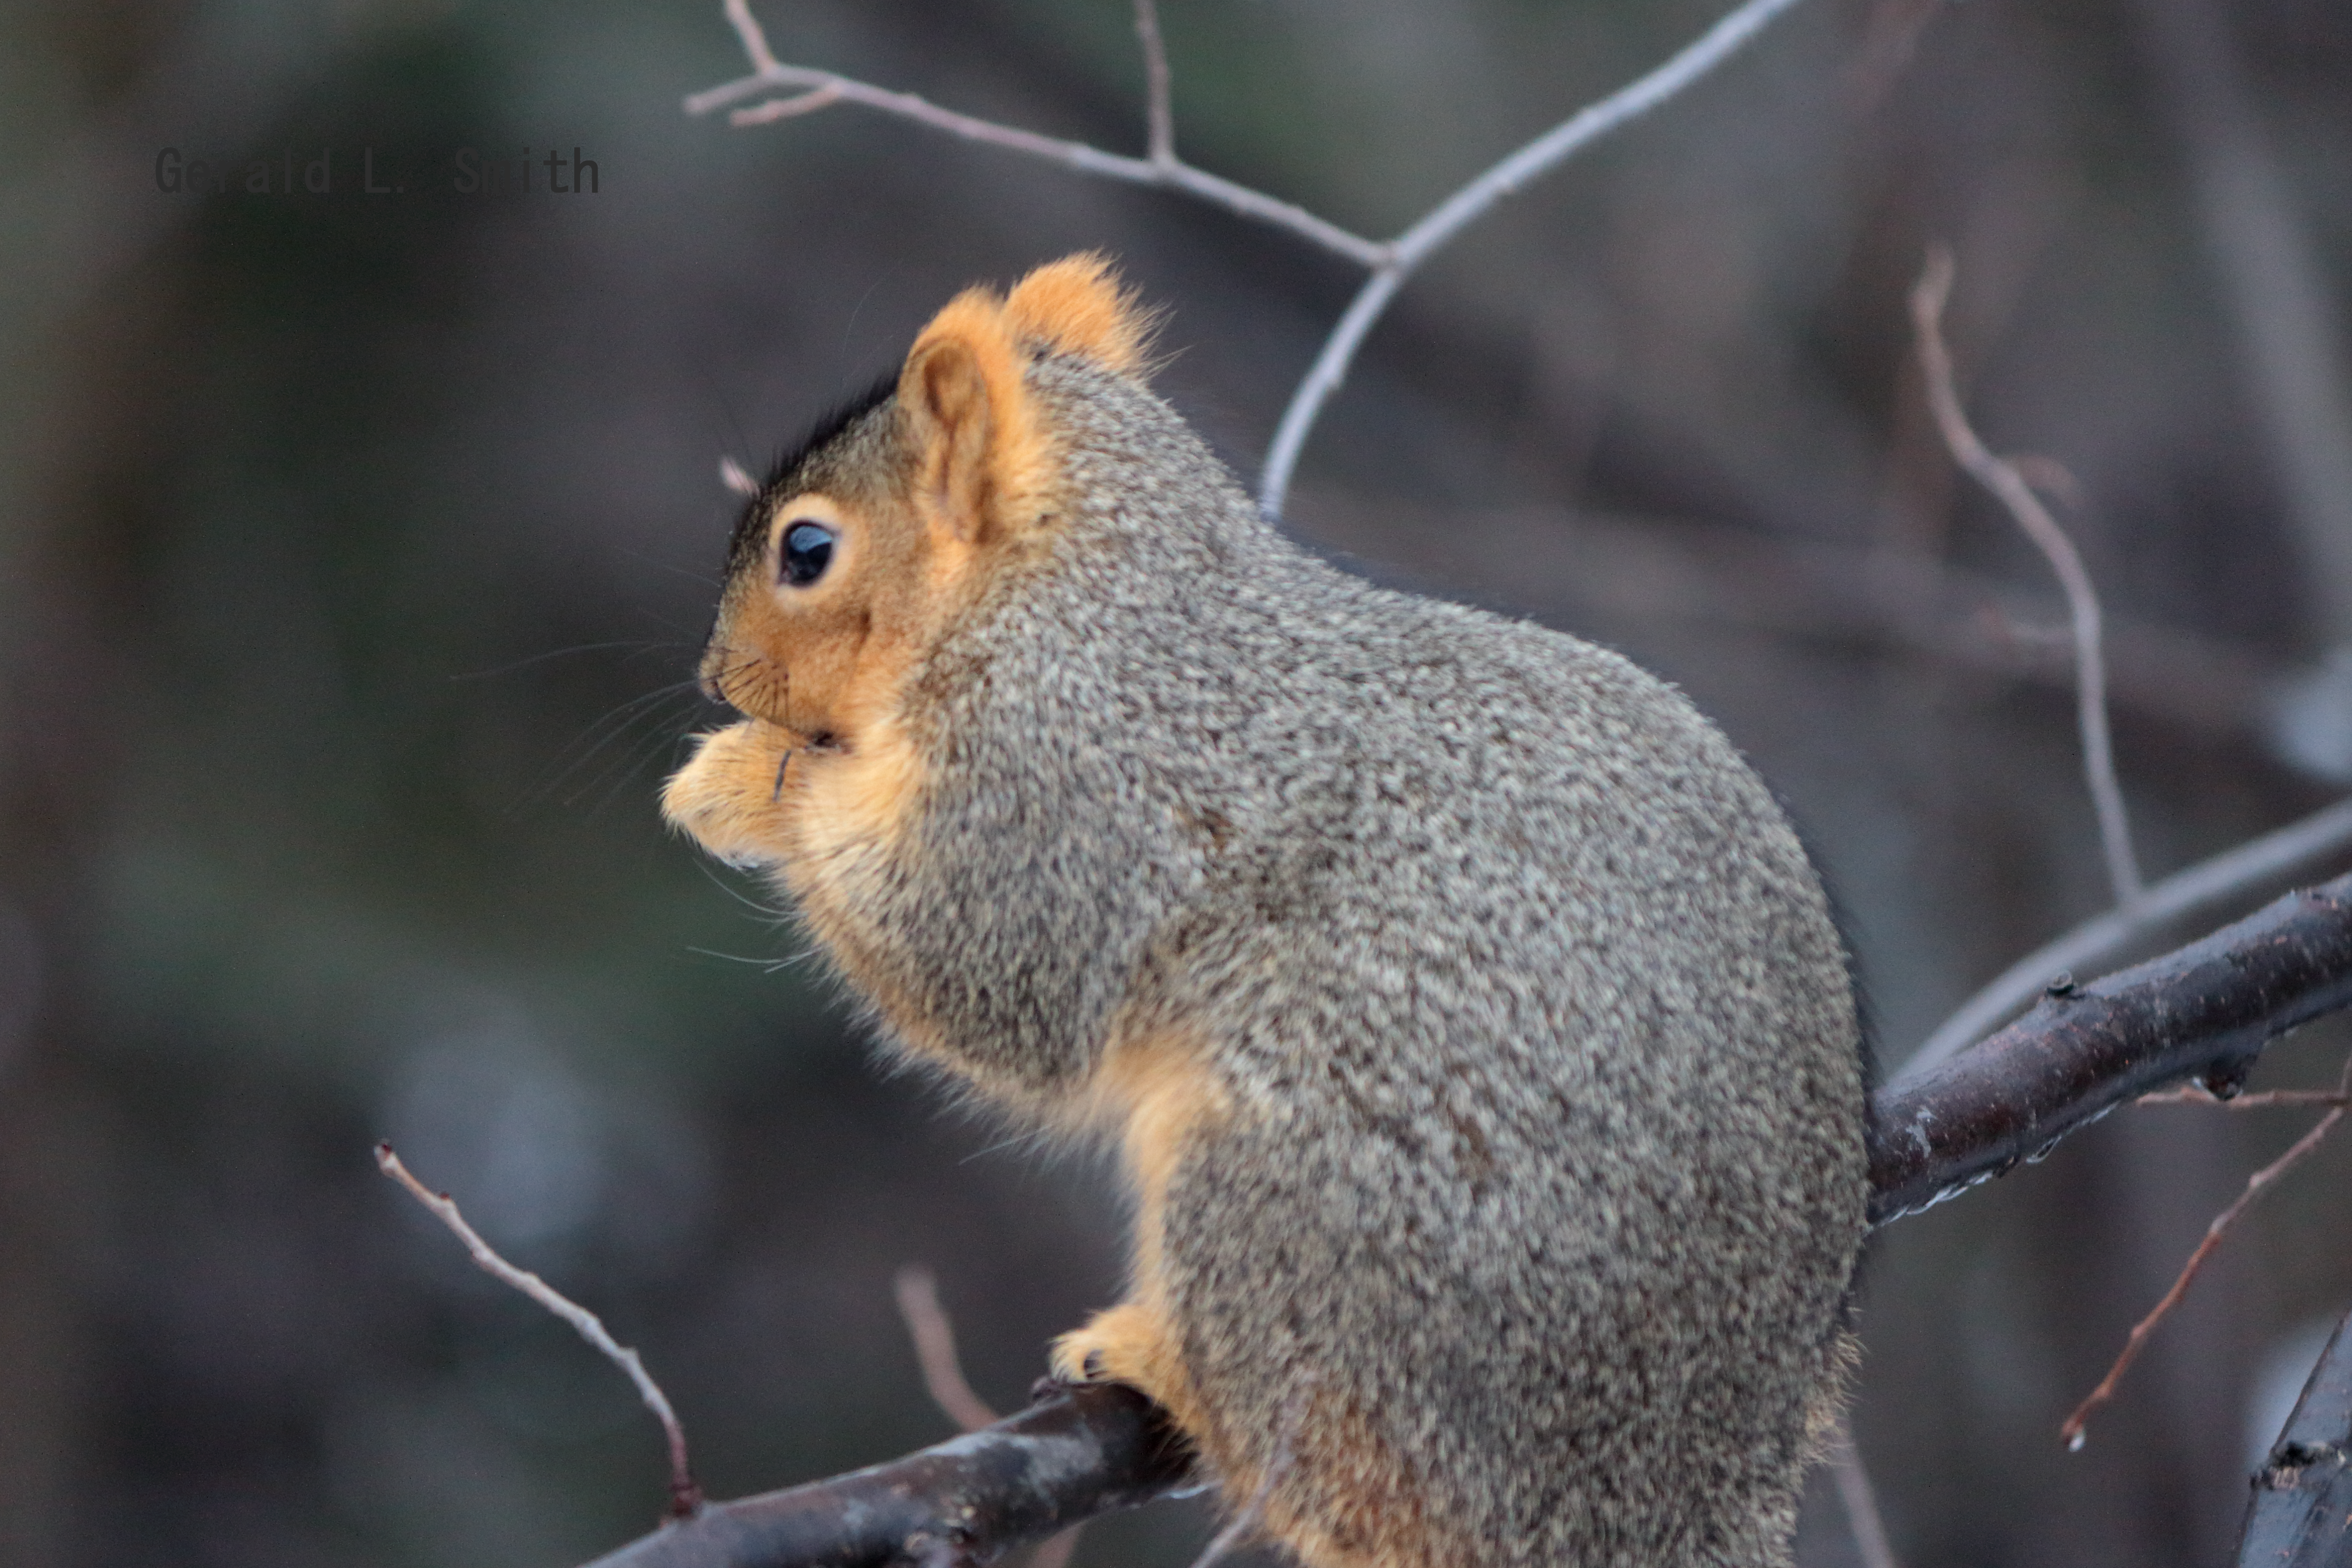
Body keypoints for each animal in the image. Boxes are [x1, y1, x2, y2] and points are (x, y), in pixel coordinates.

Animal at [668, 257, 1872, 1568]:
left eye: (806, 549)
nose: (716, 676)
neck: (1074, 591)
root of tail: (1673, 1496)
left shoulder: (1057, 787)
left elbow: (985, 974)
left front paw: (735, 779)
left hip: (1276, 1217)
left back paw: (1159, 1362)